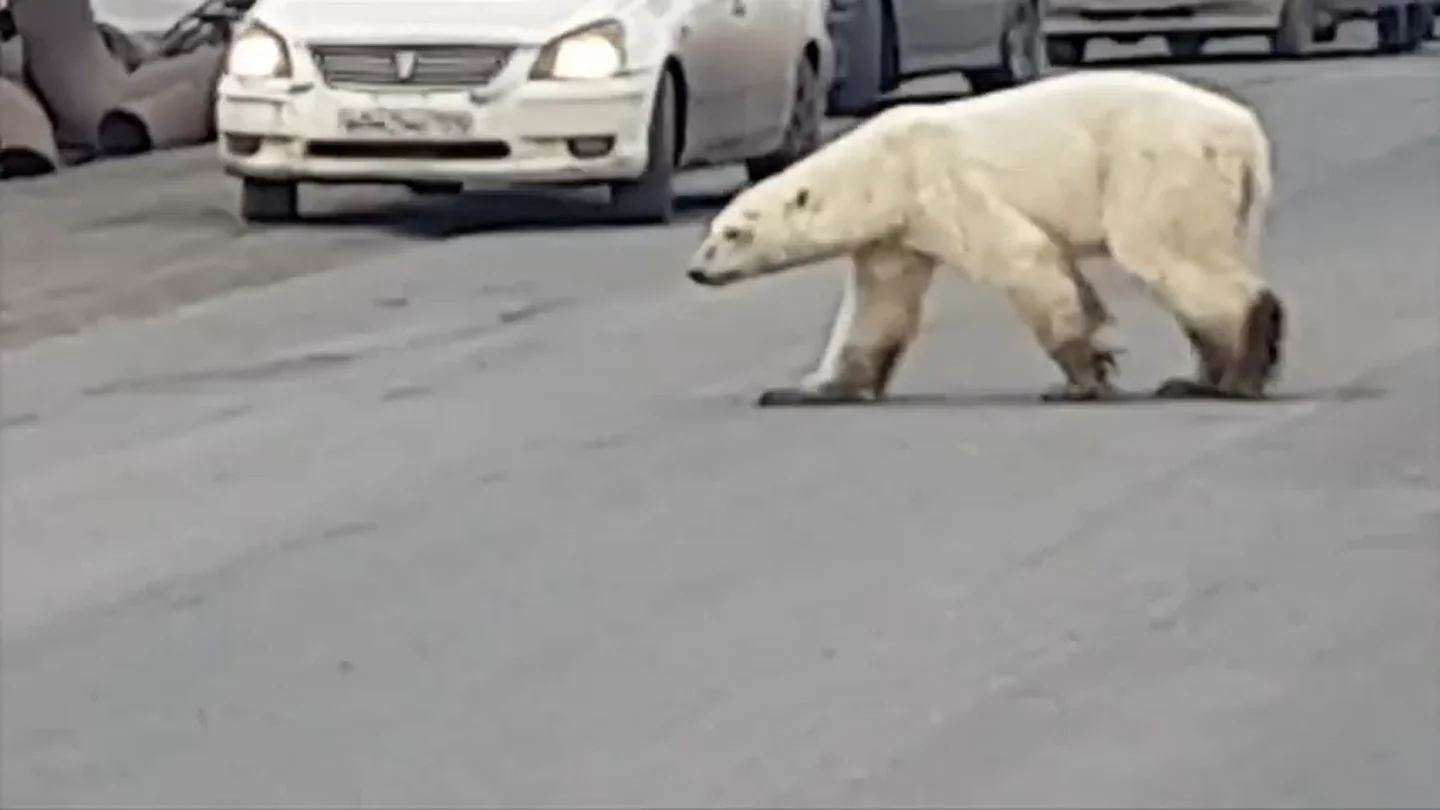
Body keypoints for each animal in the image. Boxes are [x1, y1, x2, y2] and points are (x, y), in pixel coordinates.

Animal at [684, 68, 1286, 406]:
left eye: (733, 233)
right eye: (712, 230)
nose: (696, 269)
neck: (881, 166)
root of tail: (1247, 134)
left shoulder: (940, 185)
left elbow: (1024, 256)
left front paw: (1078, 380)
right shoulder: (896, 236)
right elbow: (877, 306)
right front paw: (802, 390)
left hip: (1159, 164)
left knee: (1164, 252)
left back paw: (1240, 371)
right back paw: (1200, 378)